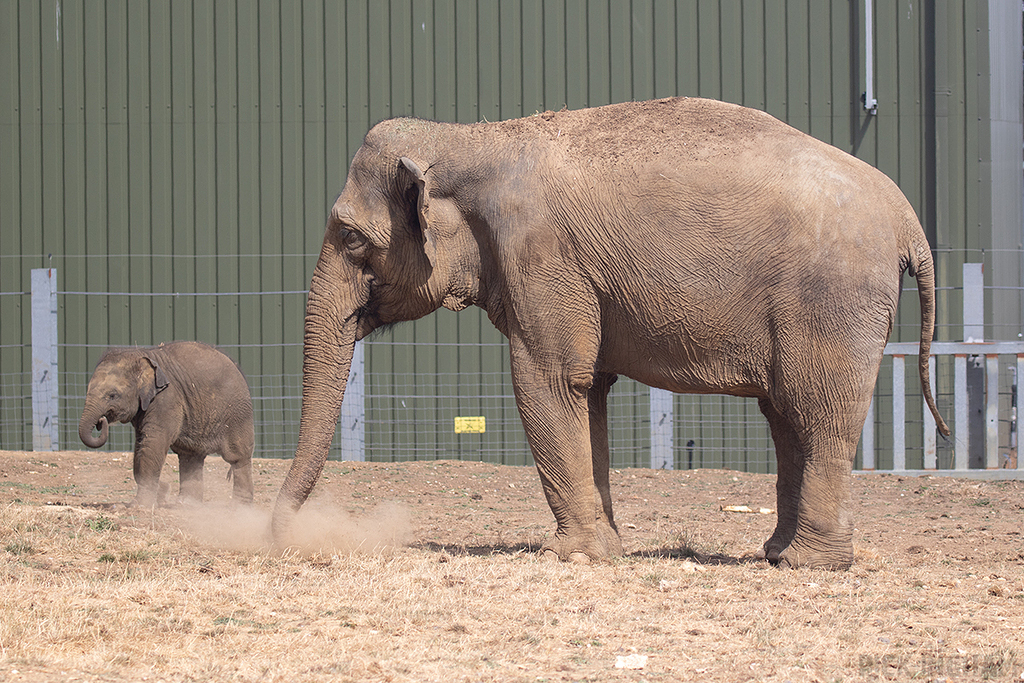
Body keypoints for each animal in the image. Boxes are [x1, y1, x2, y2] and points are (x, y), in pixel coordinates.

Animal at [79, 341, 255, 506]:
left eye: (113, 395)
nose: (101, 421)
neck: (140, 355)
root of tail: (236, 366)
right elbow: (140, 444)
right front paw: (160, 493)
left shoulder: (167, 399)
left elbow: (152, 443)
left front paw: (140, 505)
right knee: (190, 456)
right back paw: (186, 504)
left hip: (238, 413)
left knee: (238, 457)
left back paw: (240, 507)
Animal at [272, 97, 949, 569]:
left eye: (351, 238)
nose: (276, 539)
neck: (469, 137)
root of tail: (908, 220)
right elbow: (588, 390)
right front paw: (608, 550)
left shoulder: (543, 256)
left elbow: (549, 381)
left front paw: (576, 556)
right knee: (785, 415)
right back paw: (778, 554)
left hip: (832, 300)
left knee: (818, 413)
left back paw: (810, 563)